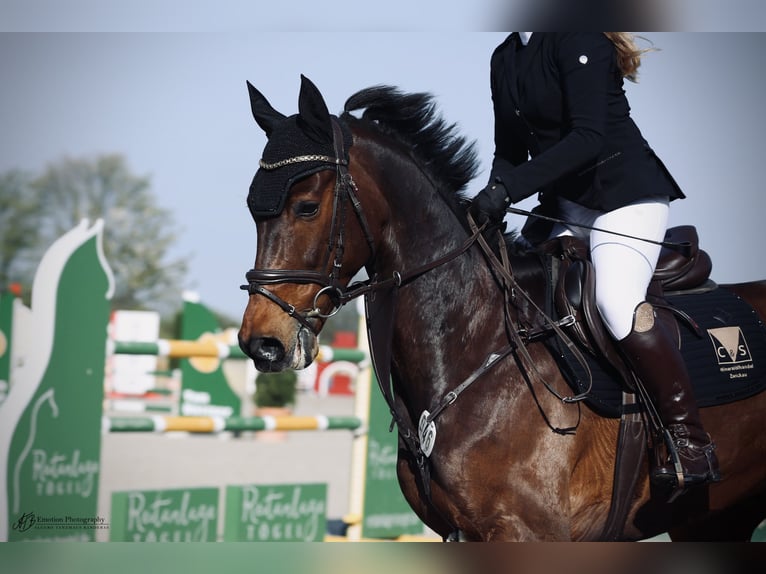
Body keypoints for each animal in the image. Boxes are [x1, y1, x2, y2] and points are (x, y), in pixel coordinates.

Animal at [237, 75, 766, 541]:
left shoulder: (530, 532)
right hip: (717, 518)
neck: (476, 345)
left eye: (307, 206)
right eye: (251, 211)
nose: (262, 344)